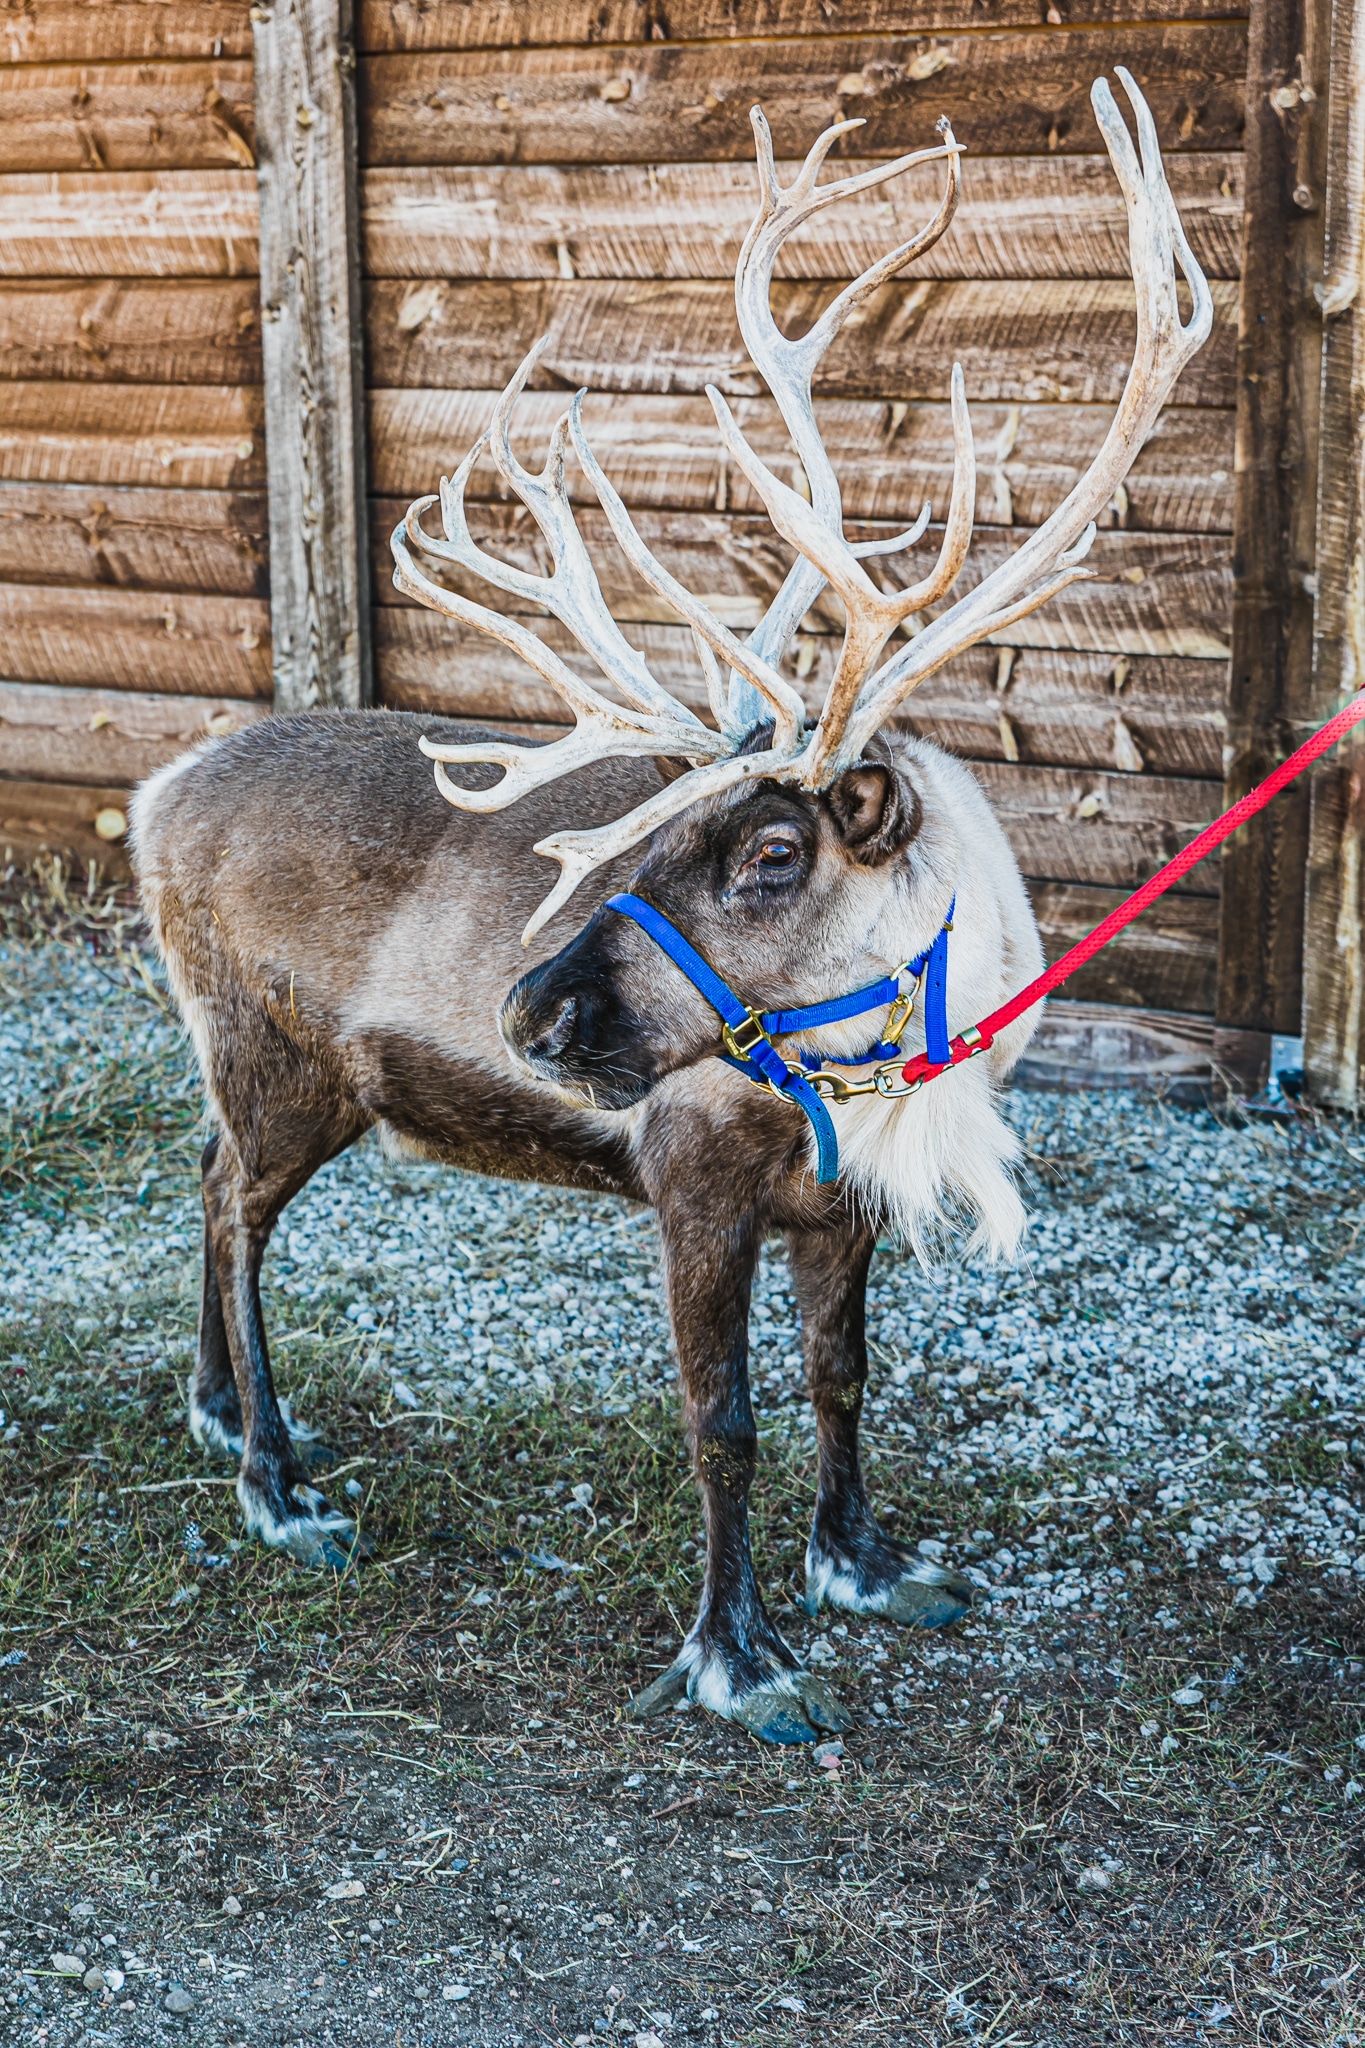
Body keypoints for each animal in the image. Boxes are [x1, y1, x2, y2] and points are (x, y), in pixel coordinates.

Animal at [131, 72, 1210, 1744]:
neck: (883, 1051)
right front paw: (738, 1657)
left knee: (200, 1178)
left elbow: (842, 1377)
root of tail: (155, 794)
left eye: (770, 850)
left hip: (270, 1077)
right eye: (656, 827)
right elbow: (726, 1419)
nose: (527, 1010)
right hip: (279, 1059)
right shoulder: (692, 1181)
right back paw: (277, 1481)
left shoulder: (841, 1205)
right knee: (239, 1216)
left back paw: (209, 1406)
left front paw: (866, 1564)